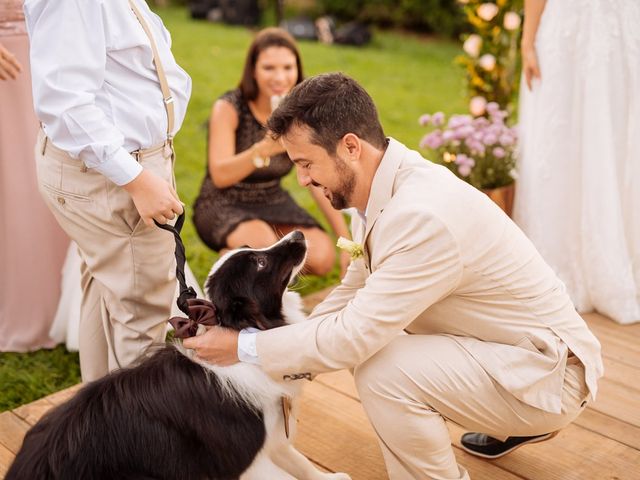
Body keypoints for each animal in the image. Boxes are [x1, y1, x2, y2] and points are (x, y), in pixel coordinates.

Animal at [6, 230, 350, 480]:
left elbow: (297, 459)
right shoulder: (244, 456)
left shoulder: (270, 435)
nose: (298, 234)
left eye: (251, 248)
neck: (239, 330)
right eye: (259, 263)